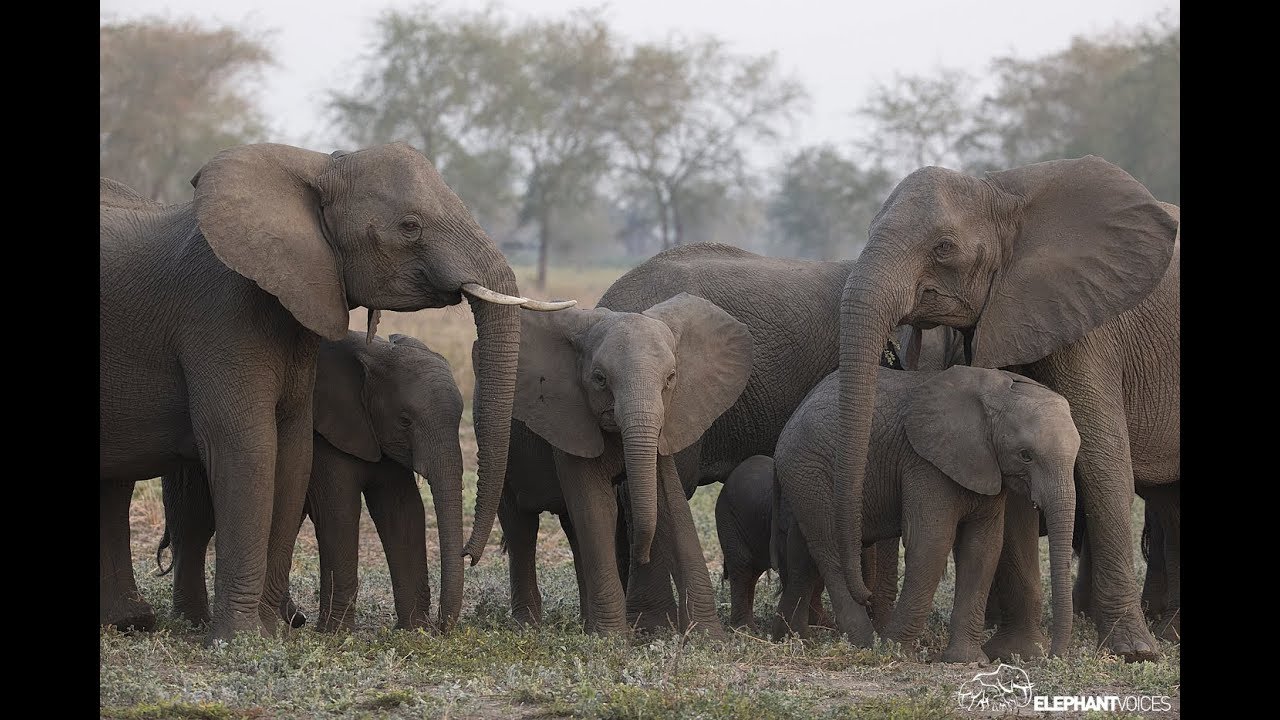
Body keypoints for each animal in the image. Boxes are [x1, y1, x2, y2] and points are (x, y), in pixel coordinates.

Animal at [156, 332, 466, 632]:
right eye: (405, 421)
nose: (441, 628)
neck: (374, 353)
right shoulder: (325, 436)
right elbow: (340, 510)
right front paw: (335, 634)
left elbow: (402, 511)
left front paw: (414, 632)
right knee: (194, 524)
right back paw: (198, 622)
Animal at [496, 293, 753, 636]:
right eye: (599, 379)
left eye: (671, 378)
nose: (641, 557)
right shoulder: (570, 419)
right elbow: (598, 507)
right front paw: (612, 639)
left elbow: (669, 504)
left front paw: (709, 638)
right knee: (520, 526)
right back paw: (528, 627)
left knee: (572, 530)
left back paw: (585, 623)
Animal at [771, 366, 1080, 662]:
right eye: (1025, 455)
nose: (1053, 657)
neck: (996, 391)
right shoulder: (924, 465)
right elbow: (931, 542)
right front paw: (895, 650)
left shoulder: (988, 469)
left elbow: (983, 548)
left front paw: (967, 661)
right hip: (809, 470)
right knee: (830, 550)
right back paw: (864, 644)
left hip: (805, 478)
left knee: (802, 554)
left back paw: (792, 639)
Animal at [828, 155, 1179, 661]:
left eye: (944, 247)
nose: (864, 595)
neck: (1003, 194)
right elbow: (1013, 480)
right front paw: (1017, 653)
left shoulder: (1088, 323)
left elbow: (1102, 459)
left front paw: (1133, 653)